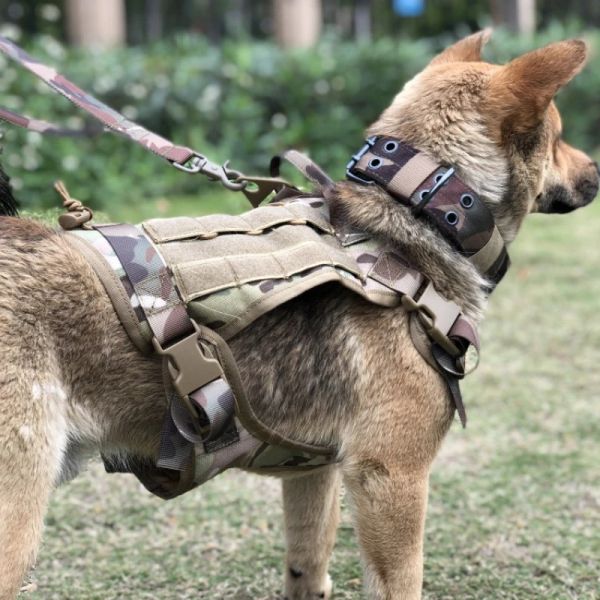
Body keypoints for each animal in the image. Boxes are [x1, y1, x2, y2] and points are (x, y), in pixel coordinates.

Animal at [0, 32, 596, 600]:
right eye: (558, 137)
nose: (596, 168)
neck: (416, 218)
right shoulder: (391, 477)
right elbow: (401, 581)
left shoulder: (315, 471)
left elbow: (307, 561)